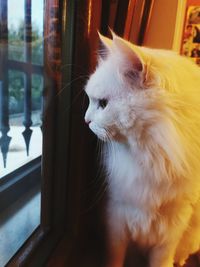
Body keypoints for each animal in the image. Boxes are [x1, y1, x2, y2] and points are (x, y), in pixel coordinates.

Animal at [83, 31, 200, 267]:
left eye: (103, 104)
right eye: (91, 100)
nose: (86, 120)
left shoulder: (172, 228)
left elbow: (162, 261)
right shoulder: (117, 216)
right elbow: (114, 256)